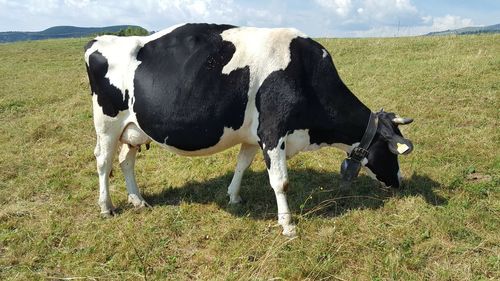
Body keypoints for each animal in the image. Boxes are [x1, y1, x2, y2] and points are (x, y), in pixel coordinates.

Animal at [85, 23, 414, 235]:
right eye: (392, 151)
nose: (399, 182)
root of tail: (98, 41)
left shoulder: (254, 136)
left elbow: (242, 164)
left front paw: (233, 196)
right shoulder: (274, 132)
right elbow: (280, 182)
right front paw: (287, 225)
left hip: (133, 129)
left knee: (125, 161)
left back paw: (138, 200)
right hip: (106, 124)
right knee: (103, 162)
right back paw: (106, 207)